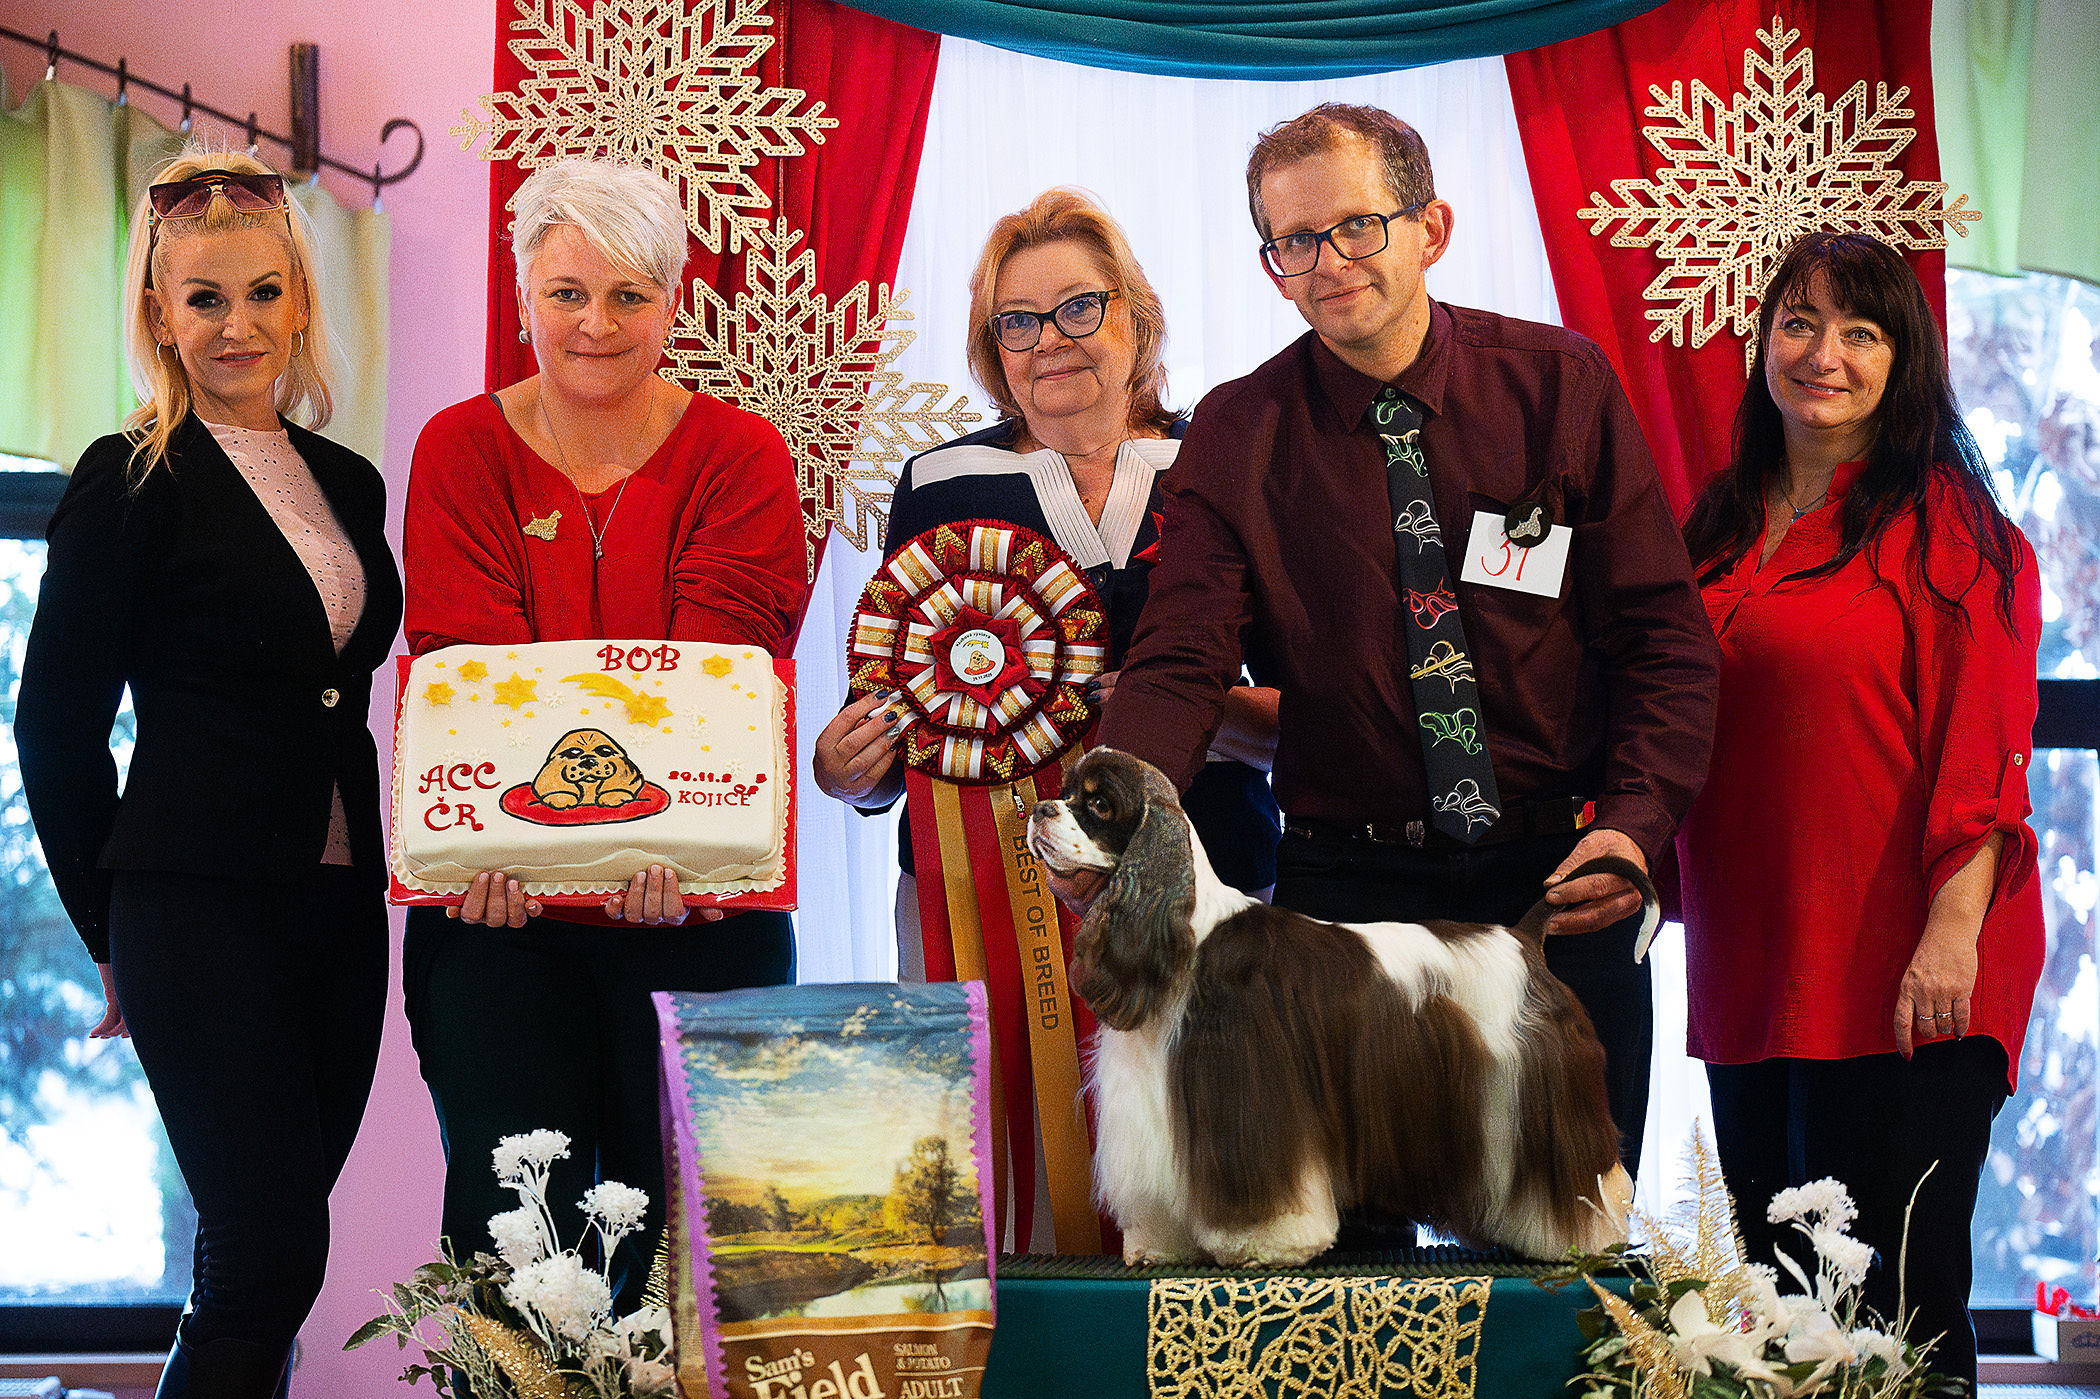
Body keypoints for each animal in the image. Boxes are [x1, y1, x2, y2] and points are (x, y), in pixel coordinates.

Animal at [1028, 747, 1649, 1267]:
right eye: (1064, 789)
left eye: (1099, 804)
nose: (1037, 808)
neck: (1186, 936)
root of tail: (1525, 936)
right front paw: (1158, 1247)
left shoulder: (1249, 1091)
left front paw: (1265, 1245)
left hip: (1544, 1097)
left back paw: (1583, 1237)